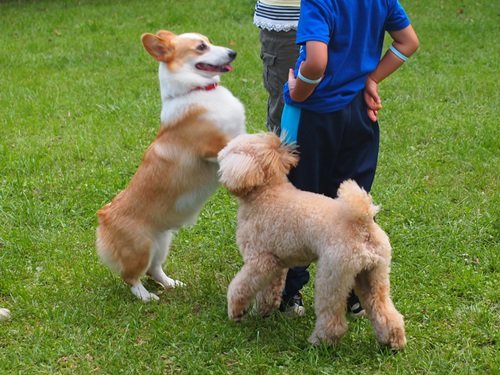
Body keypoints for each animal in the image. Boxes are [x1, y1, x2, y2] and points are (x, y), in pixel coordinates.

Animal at [95, 30, 244, 304]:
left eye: (209, 41)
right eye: (201, 47)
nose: (233, 53)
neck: (197, 90)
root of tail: (104, 216)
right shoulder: (213, 147)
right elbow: (238, 143)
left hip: (161, 242)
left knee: (154, 270)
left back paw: (172, 284)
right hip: (141, 248)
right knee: (131, 277)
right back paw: (146, 297)